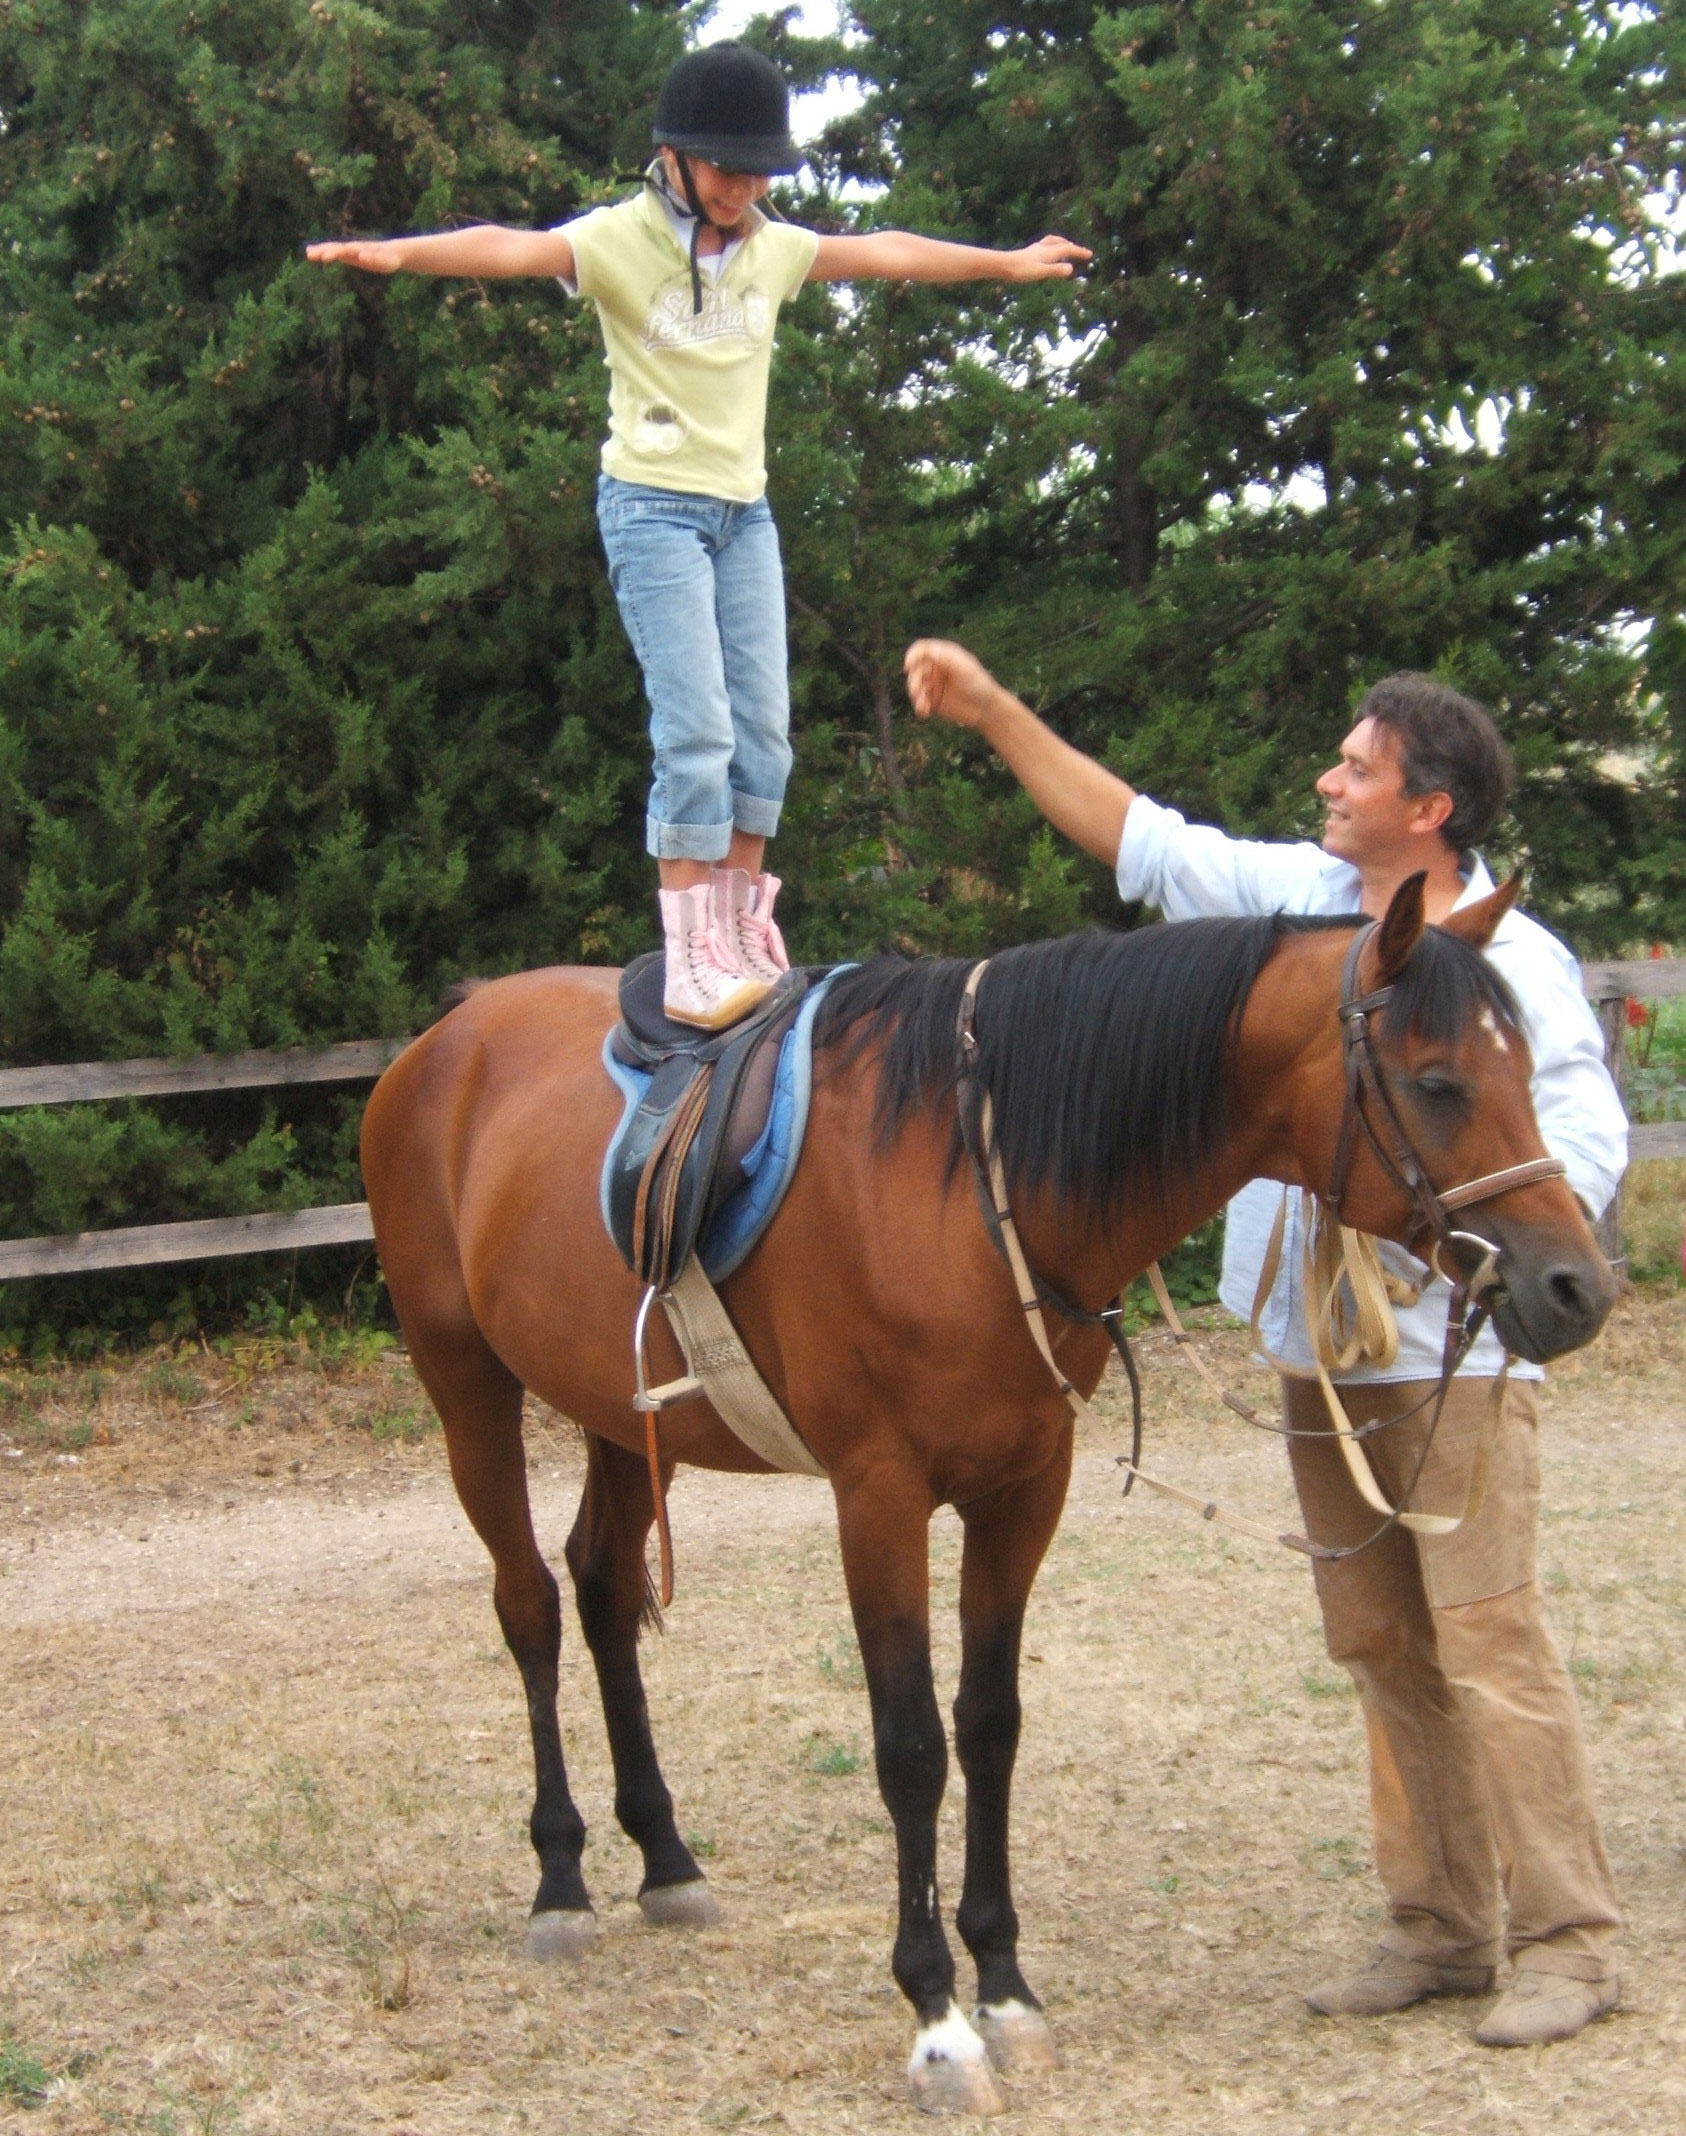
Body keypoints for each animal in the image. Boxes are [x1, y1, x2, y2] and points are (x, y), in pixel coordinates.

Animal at [365, 875, 1606, 2110]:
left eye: (1526, 1069)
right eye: (1439, 1081)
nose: (1575, 1286)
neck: (969, 1179)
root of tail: (445, 1037)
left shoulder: (1022, 1490)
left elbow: (990, 1725)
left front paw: (1004, 1987)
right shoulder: (878, 1496)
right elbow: (912, 1745)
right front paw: (937, 2019)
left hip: (623, 1418)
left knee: (605, 1591)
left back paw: (664, 1858)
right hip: (465, 1387)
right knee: (529, 1606)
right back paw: (561, 1878)